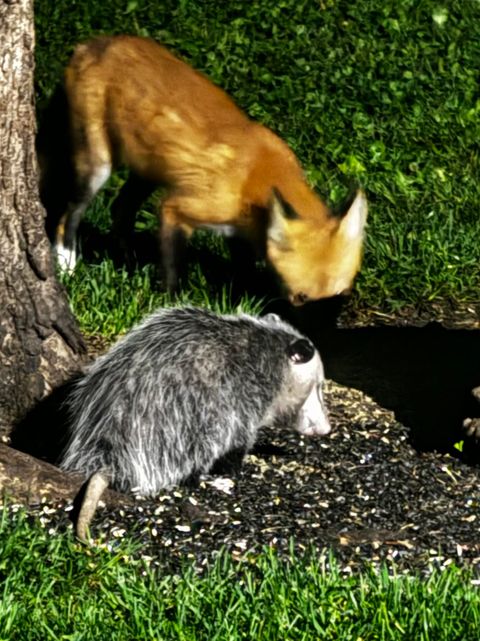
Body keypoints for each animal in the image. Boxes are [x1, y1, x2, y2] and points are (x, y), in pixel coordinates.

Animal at [40, 35, 368, 304]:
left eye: (343, 295)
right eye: (301, 298)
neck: (253, 178)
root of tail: (89, 45)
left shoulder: (239, 232)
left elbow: (243, 271)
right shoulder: (177, 209)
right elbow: (173, 268)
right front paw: (171, 303)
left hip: (147, 171)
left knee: (120, 208)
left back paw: (125, 258)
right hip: (97, 167)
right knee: (68, 215)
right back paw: (67, 263)